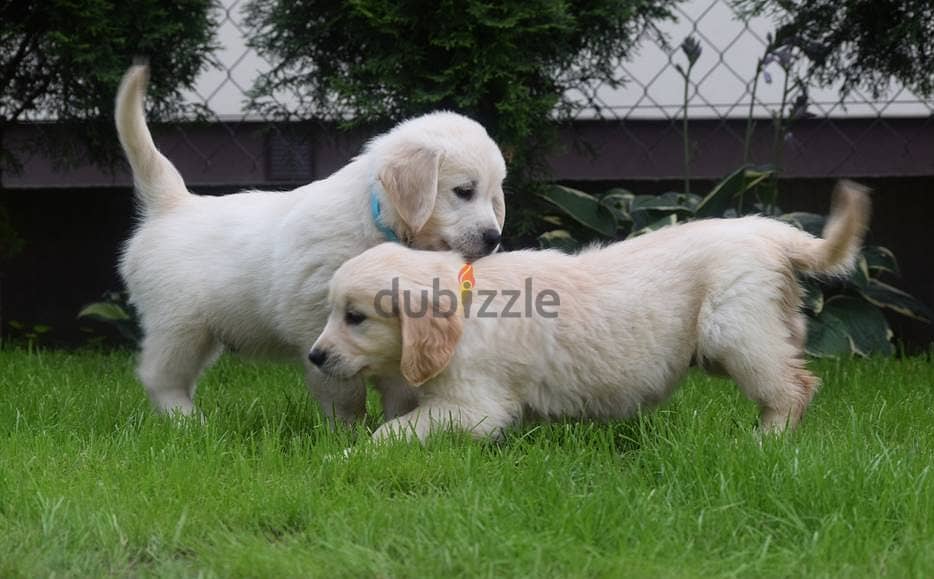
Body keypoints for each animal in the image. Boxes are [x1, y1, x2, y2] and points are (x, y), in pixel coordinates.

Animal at [118, 65, 512, 424]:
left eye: (494, 196)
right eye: (464, 191)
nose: (494, 238)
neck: (377, 220)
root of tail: (175, 203)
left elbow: (399, 380)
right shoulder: (316, 319)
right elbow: (342, 388)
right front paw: (346, 431)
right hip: (179, 324)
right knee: (159, 377)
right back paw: (188, 421)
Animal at [310, 184, 872, 442]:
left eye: (356, 317)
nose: (315, 357)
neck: (464, 305)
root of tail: (768, 230)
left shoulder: (473, 407)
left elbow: (394, 432)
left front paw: (350, 455)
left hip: (735, 329)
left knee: (792, 387)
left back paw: (764, 441)